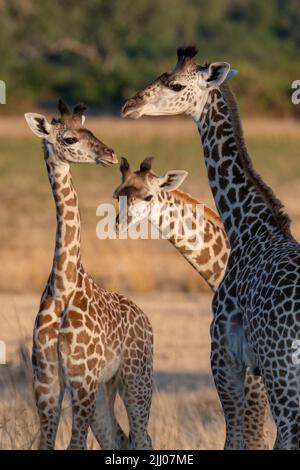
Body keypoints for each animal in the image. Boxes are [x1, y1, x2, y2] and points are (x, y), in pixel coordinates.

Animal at [24, 101, 154, 450]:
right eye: (69, 138)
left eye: (89, 129)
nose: (110, 154)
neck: (64, 285)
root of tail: (145, 318)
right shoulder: (46, 383)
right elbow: (48, 444)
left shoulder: (82, 379)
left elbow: (76, 445)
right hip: (105, 389)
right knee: (120, 439)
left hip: (136, 378)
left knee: (142, 437)